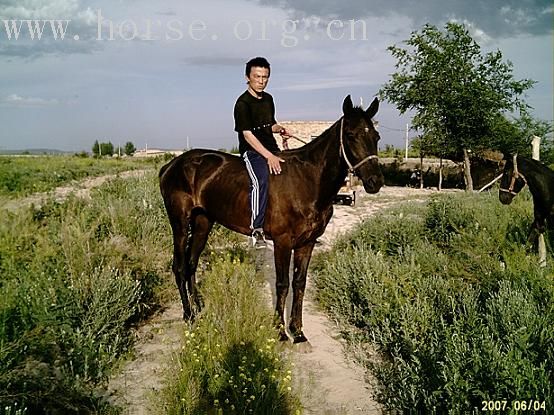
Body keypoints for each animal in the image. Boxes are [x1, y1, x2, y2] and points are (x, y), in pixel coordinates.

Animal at [160, 96, 382, 344]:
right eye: (351, 135)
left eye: (376, 136)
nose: (375, 182)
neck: (307, 180)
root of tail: (171, 166)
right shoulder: (282, 241)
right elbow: (282, 284)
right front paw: (280, 331)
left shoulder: (307, 243)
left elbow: (299, 283)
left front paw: (298, 331)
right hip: (180, 224)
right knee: (180, 267)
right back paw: (188, 314)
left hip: (202, 224)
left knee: (191, 264)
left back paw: (198, 307)